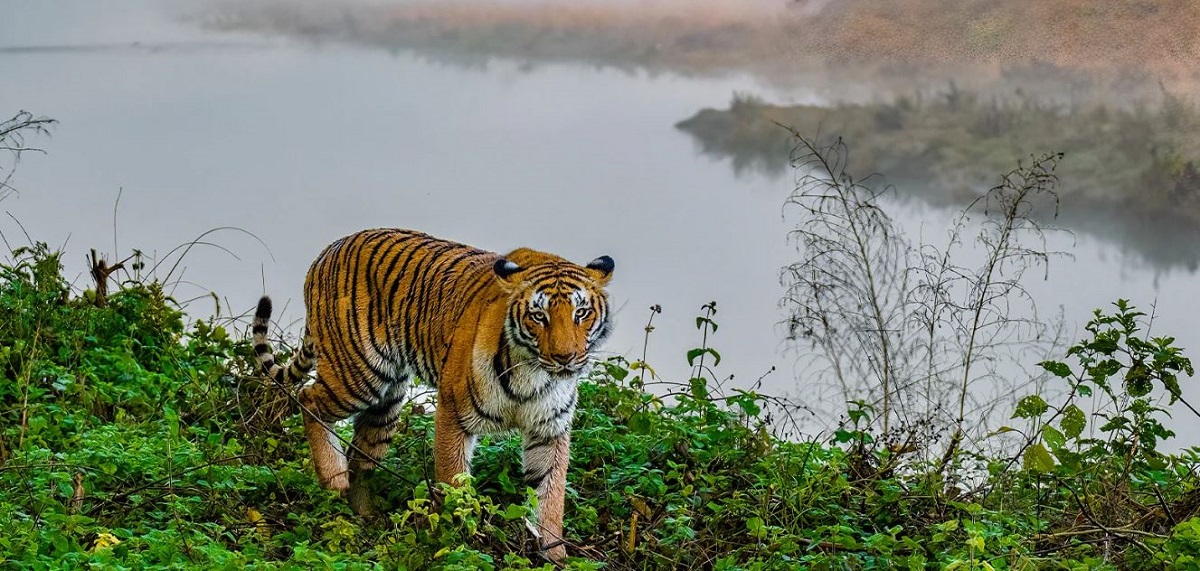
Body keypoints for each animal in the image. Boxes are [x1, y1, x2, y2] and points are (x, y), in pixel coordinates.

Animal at [251, 228, 614, 562]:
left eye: (581, 313)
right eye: (539, 316)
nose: (565, 357)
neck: (533, 372)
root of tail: (326, 251)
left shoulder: (549, 429)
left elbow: (550, 494)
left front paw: (553, 554)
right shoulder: (454, 414)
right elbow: (455, 486)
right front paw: (460, 544)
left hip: (387, 399)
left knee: (360, 455)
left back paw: (364, 515)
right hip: (358, 375)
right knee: (308, 397)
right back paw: (333, 477)